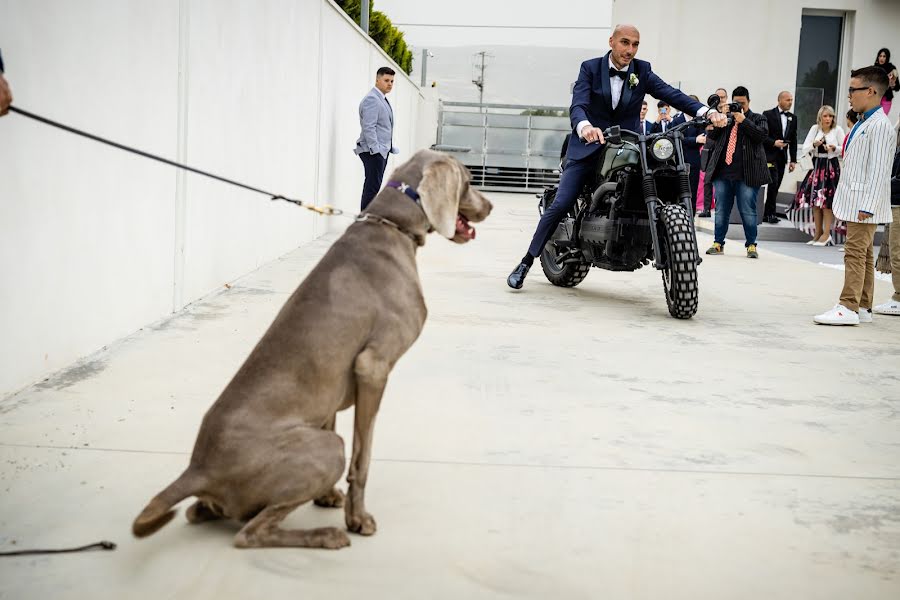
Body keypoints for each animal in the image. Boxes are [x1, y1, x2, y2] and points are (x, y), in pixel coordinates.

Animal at [134, 150, 492, 548]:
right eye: (470, 181)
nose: (491, 206)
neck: (391, 225)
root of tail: (198, 469)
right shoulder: (373, 366)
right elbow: (362, 457)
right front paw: (357, 518)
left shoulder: (335, 383)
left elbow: (331, 415)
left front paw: (327, 497)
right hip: (325, 448)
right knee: (249, 534)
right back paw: (326, 535)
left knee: (203, 512)